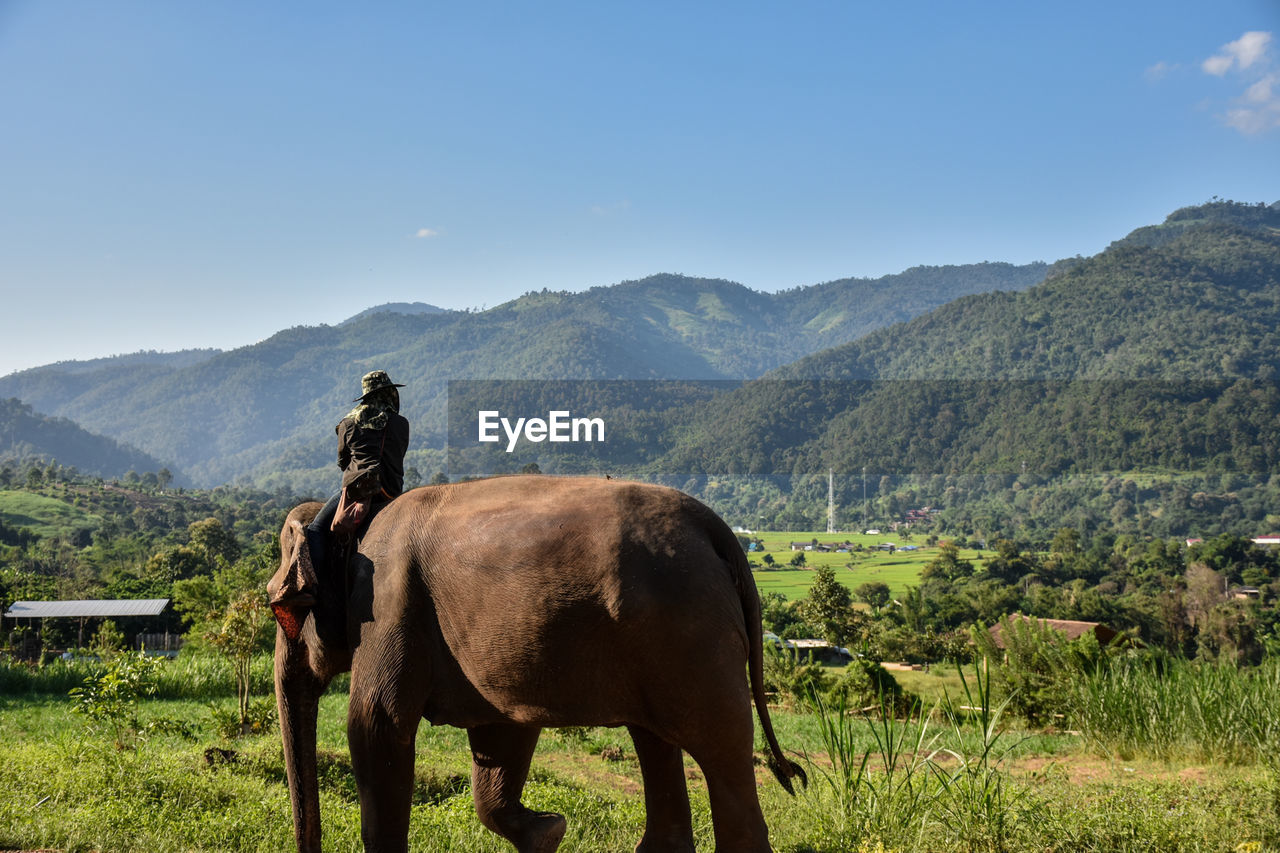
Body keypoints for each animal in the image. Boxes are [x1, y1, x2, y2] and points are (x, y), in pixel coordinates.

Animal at [268, 473, 803, 850]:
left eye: (279, 607)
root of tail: (716, 529)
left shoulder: (389, 606)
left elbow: (376, 726)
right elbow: (501, 735)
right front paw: (550, 830)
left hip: (694, 639)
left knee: (721, 752)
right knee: (656, 743)